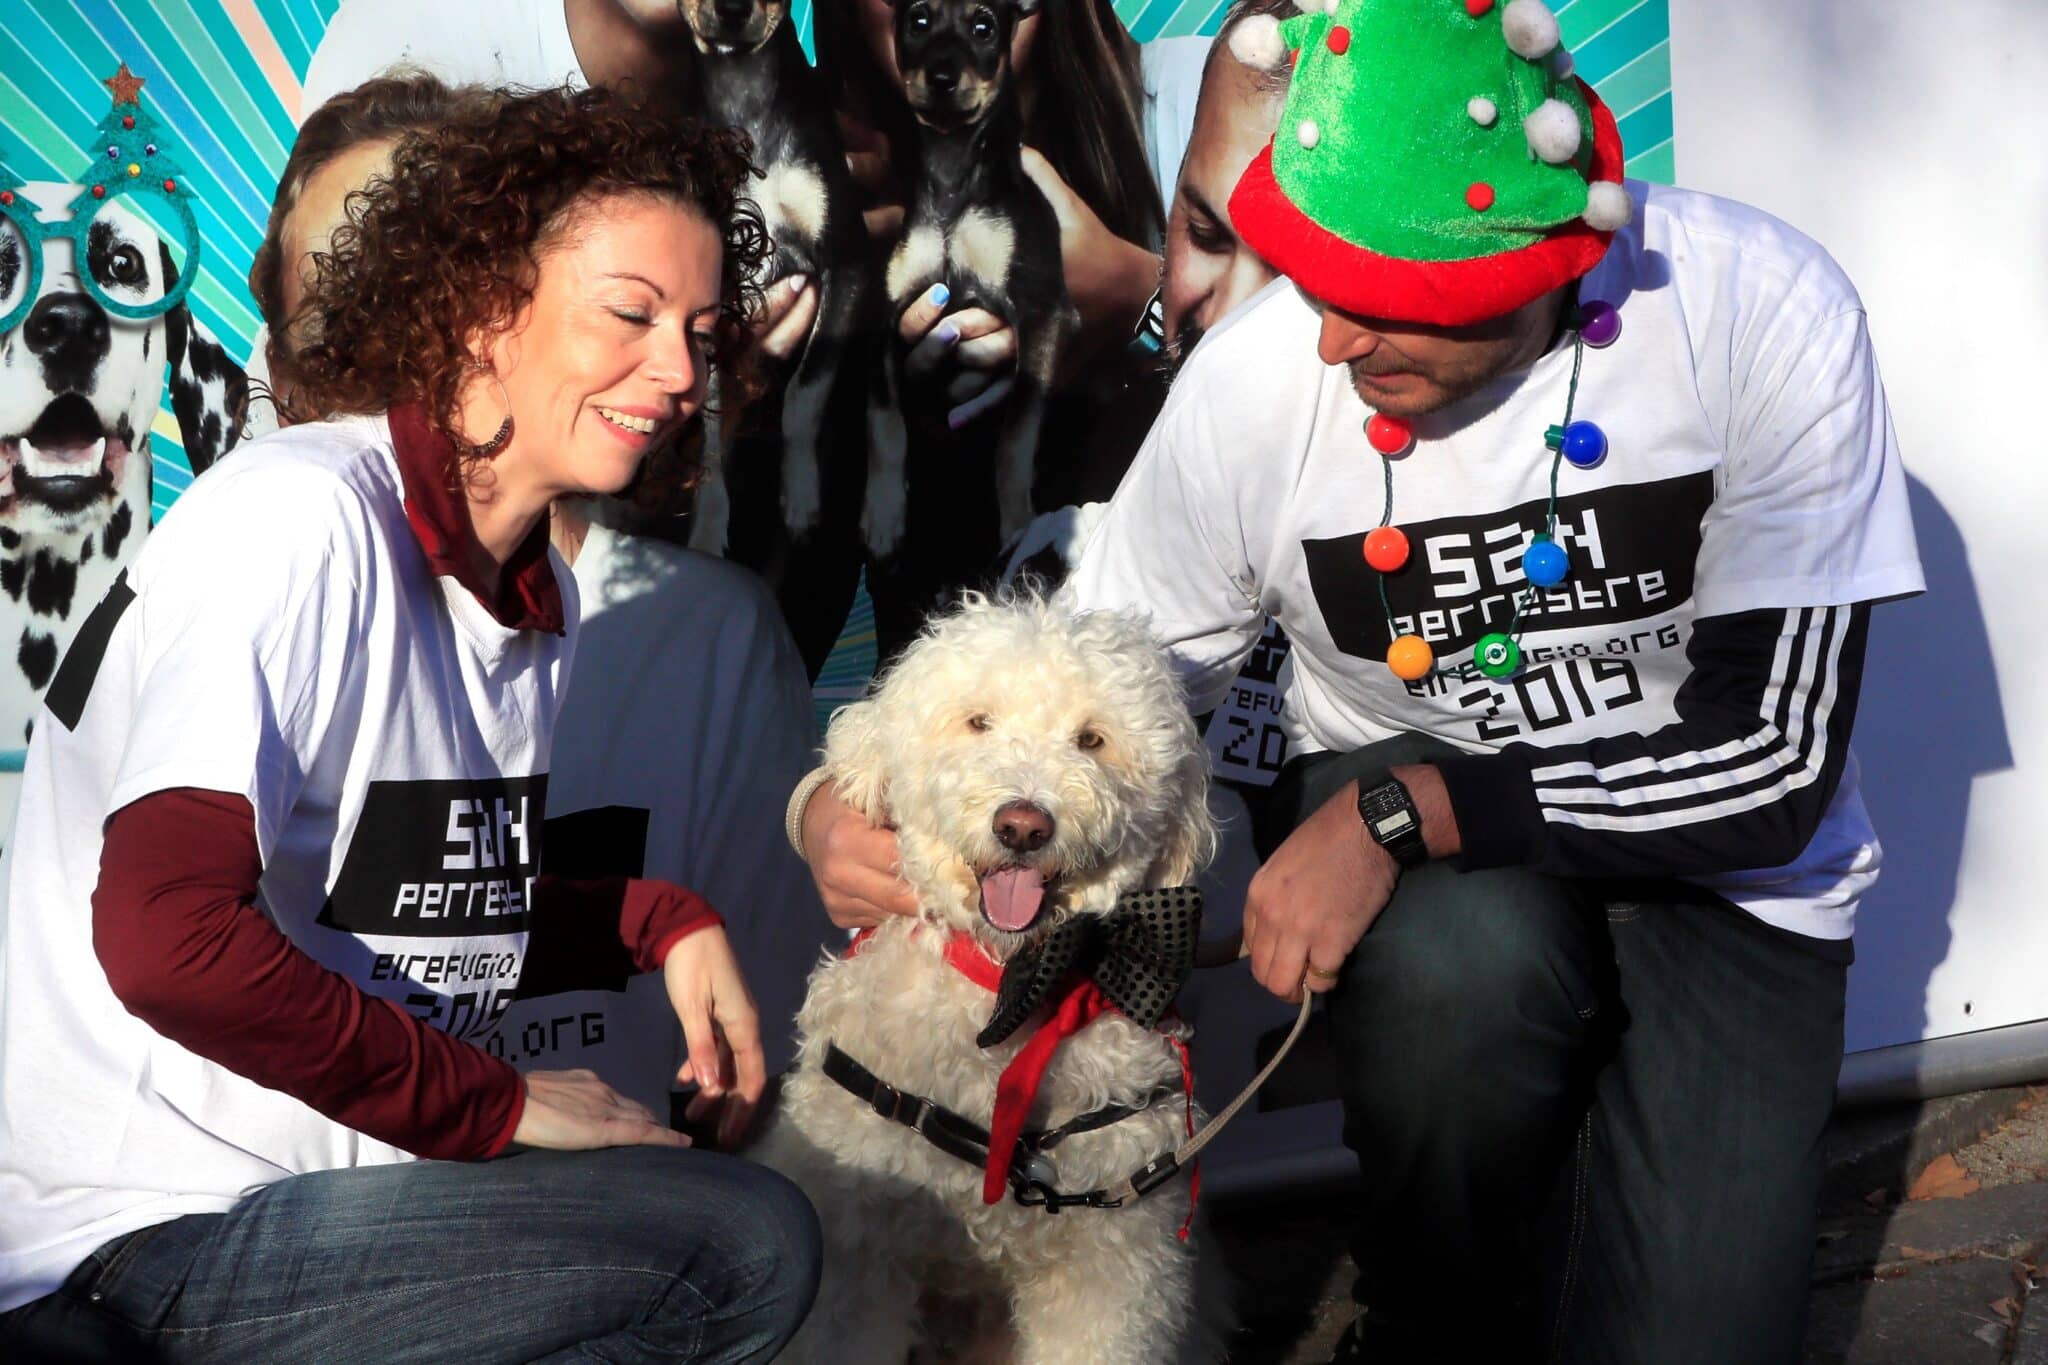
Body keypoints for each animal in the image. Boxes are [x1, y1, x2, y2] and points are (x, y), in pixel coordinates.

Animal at [757, 593, 1220, 1365]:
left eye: (1091, 739)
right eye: (978, 722)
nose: (1024, 825)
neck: (1009, 986)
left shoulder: (1112, 1265)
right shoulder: (856, 1246)